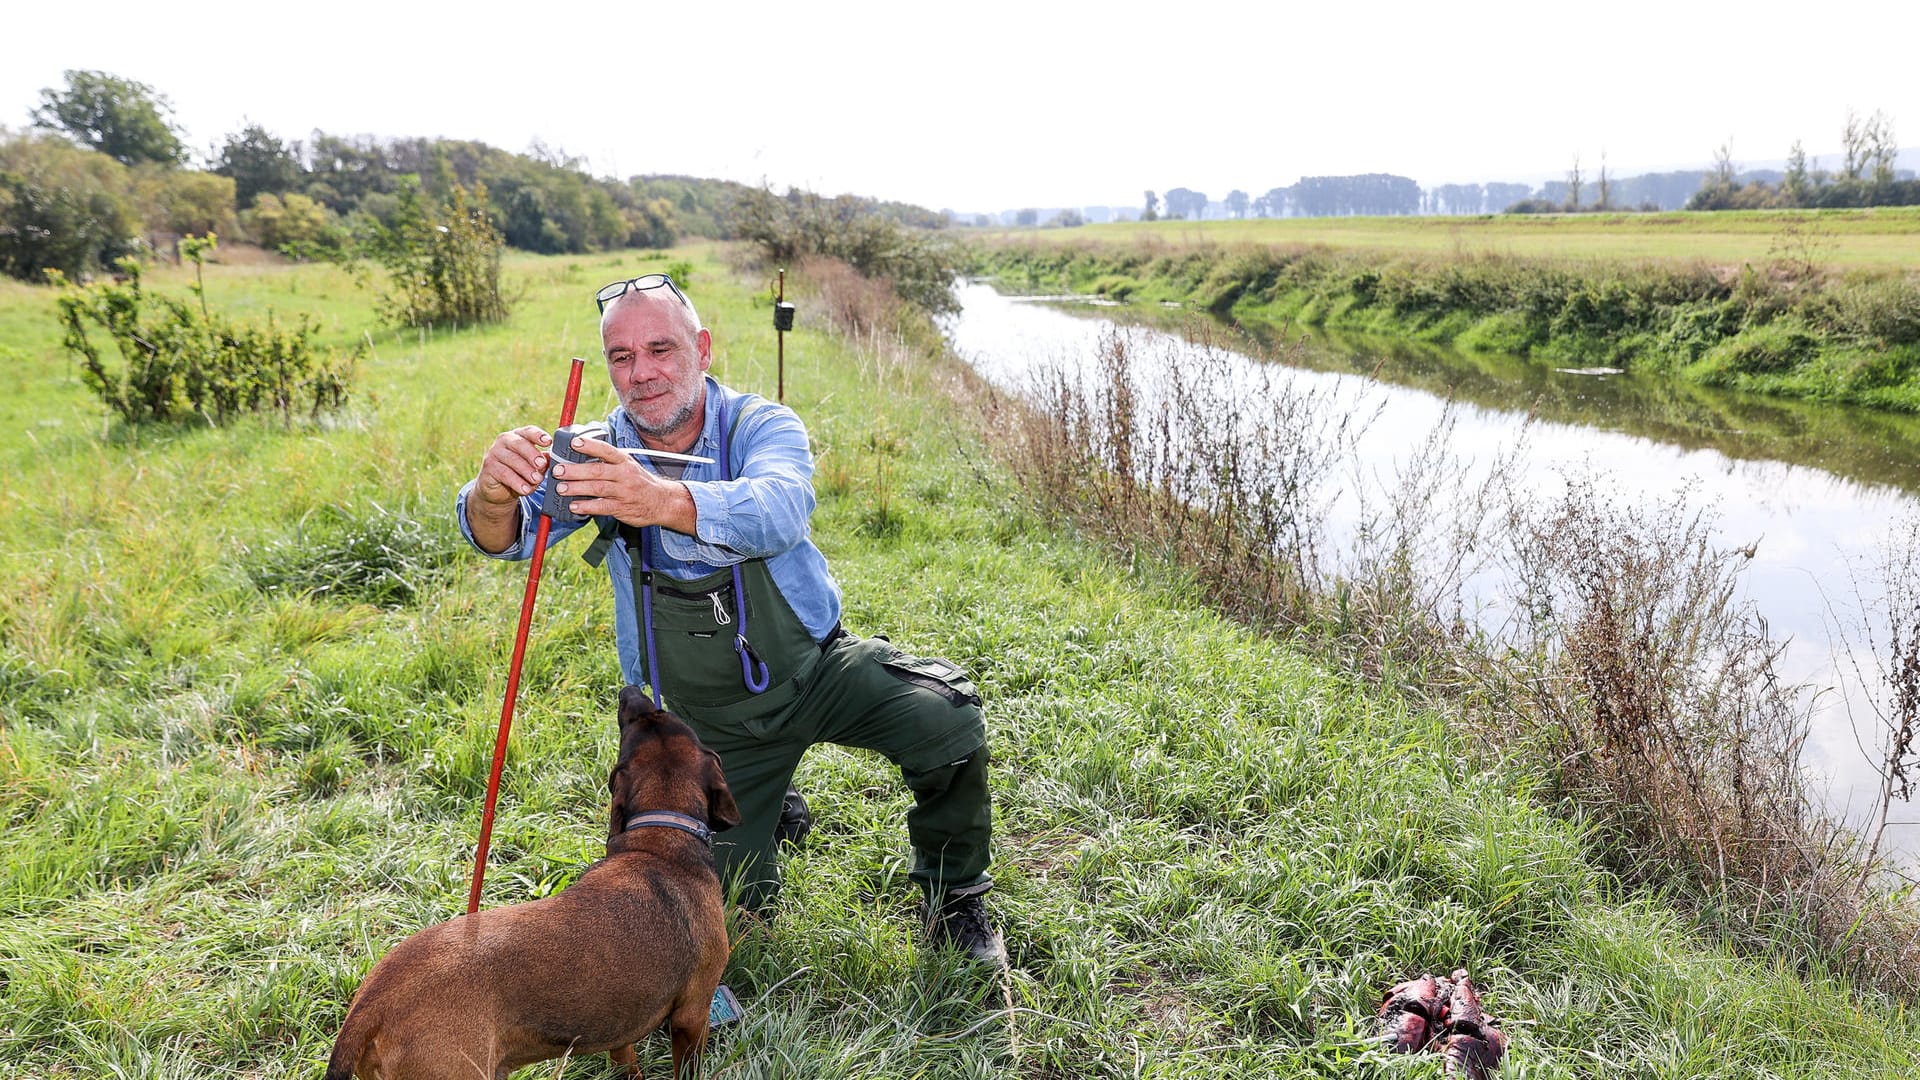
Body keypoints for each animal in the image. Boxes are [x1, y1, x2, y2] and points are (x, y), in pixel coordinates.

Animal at [322, 684, 741, 1068]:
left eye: (655, 715)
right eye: (638, 719)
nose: (630, 690)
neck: (658, 838)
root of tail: (369, 1007)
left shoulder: (618, 1031)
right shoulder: (692, 1015)